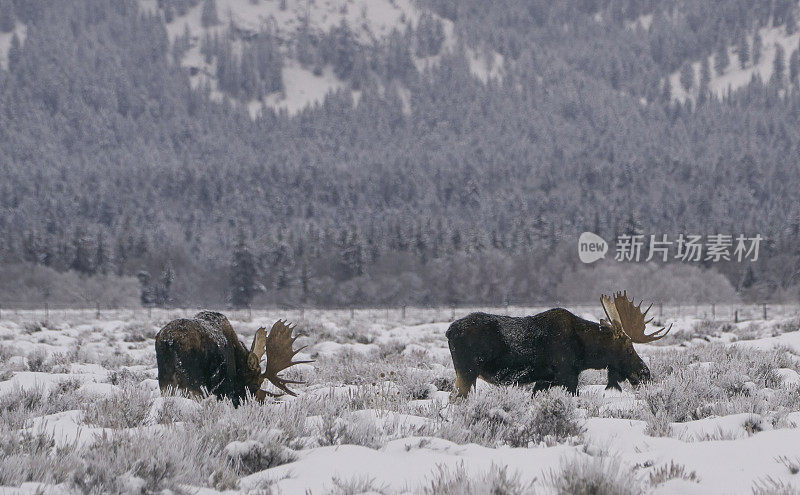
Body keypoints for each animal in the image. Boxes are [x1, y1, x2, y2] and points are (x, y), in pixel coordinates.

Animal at [446, 292, 672, 398]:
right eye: (628, 348)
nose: (645, 373)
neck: (586, 354)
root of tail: (449, 331)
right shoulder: (567, 376)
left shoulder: (544, 381)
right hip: (467, 371)